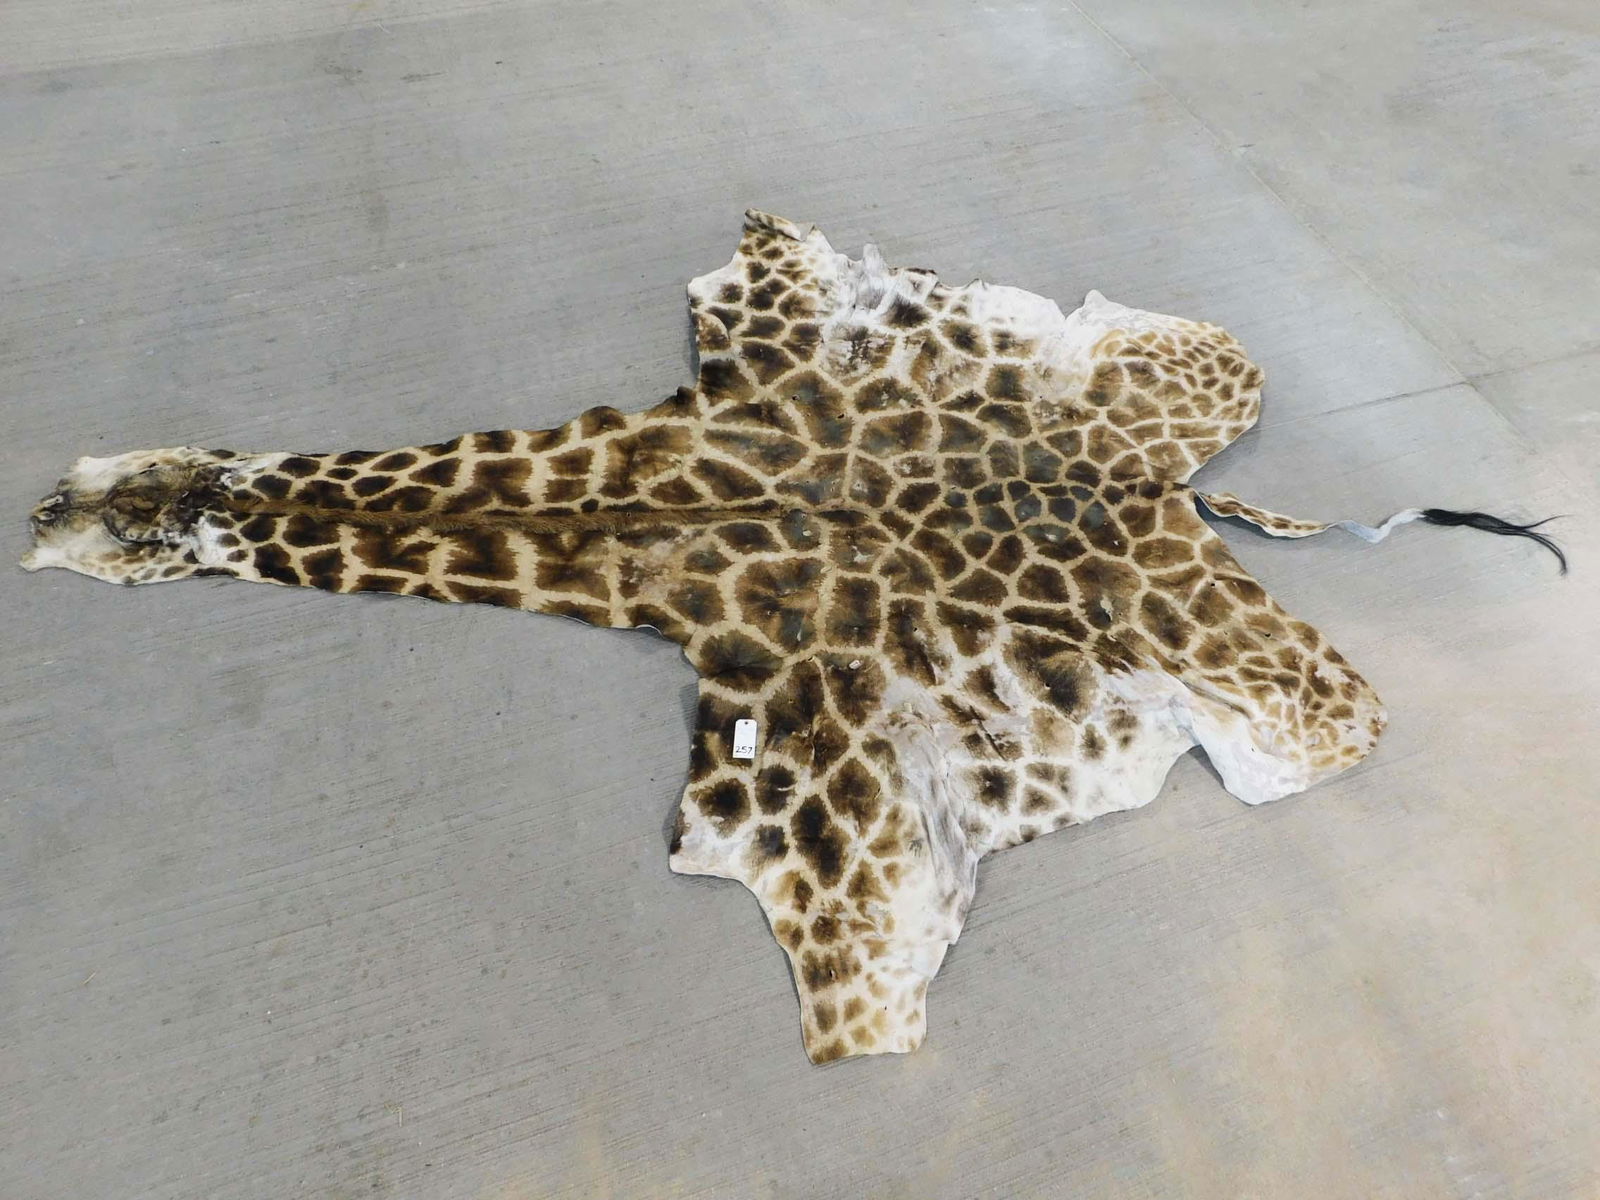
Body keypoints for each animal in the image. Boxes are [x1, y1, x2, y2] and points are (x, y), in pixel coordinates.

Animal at [23, 211, 1562, 1063]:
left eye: (110, 516)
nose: (44, 510)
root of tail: (1169, 496)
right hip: (1213, 403)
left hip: (1285, 646)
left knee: (1330, 697)